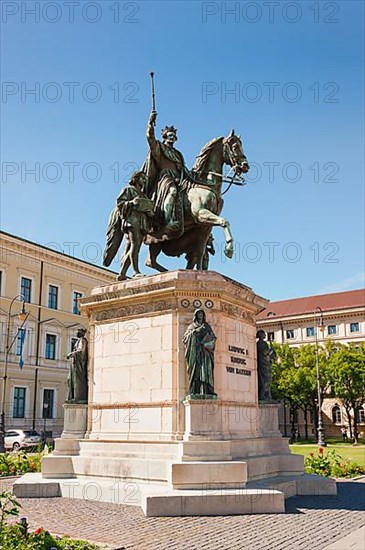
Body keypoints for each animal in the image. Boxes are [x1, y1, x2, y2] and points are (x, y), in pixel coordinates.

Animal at [145, 132, 247, 274]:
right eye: (235, 146)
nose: (245, 165)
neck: (206, 183)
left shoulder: (204, 226)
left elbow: (199, 251)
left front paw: (198, 271)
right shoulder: (201, 214)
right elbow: (225, 221)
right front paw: (229, 249)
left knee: (151, 261)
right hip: (155, 239)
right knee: (146, 259)